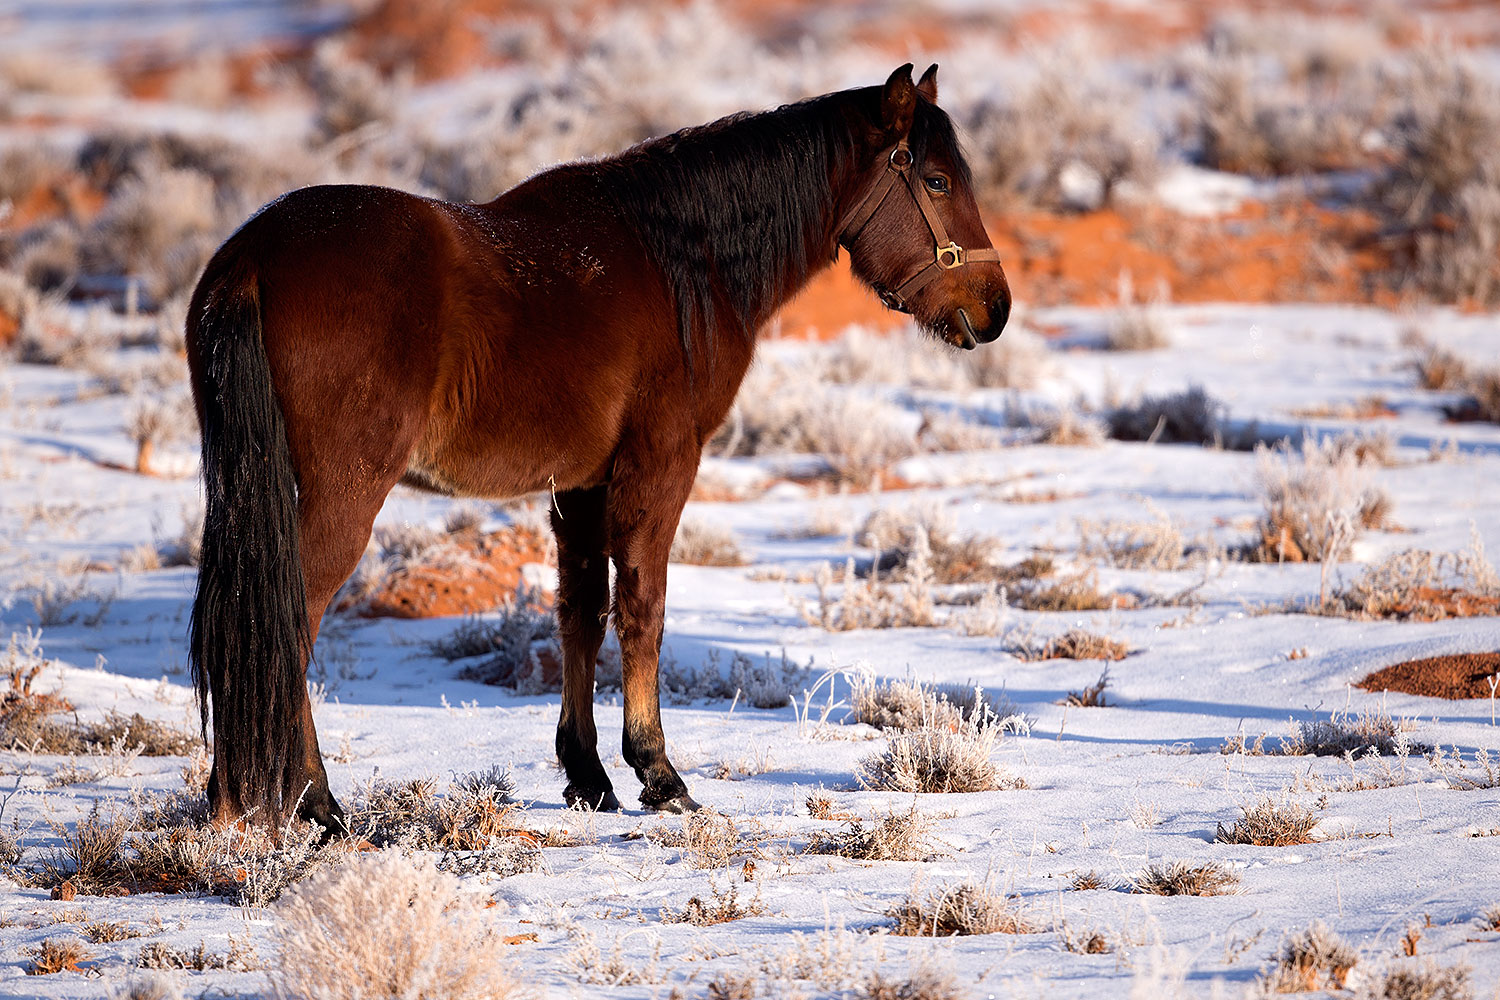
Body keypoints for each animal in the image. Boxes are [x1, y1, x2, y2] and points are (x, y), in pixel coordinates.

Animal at [185, 62, 1011, 834]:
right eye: (936, 179)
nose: (995, 308)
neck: (681, 265)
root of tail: (252, 258)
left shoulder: (578, 485)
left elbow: (578, 612)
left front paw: (587, 774)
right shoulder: (661, 467)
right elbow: (643, 609)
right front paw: (658, 772)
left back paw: (236, 794)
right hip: (345, 493)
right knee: (289, 624)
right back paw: (316, 802)